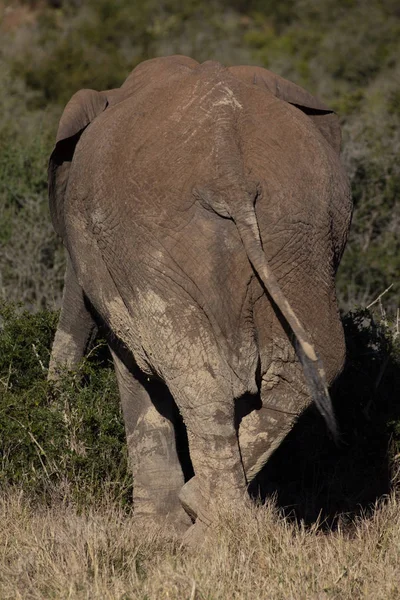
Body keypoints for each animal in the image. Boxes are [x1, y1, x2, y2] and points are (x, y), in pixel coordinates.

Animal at [48, 57, 352, 544]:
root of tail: (228, 158)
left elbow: (134, 368)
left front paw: (153, 536)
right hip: (302, 227)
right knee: (312, 358)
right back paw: (218, 520)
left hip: (152, 241)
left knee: (194, 368)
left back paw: (208, 531)